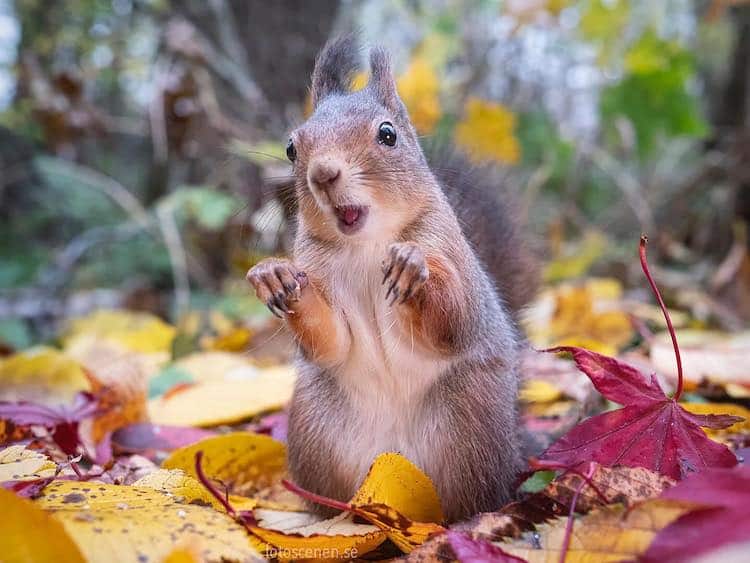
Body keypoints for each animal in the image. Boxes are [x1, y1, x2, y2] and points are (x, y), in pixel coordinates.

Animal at [250, 36, 536, 524]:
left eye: (388, 134)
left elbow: (453, 321)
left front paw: (411, 266)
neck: (368, 245)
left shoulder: (453, 258)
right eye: (291, 147)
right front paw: (274, 275)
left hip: (470, 428)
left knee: (471, 500)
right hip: (315, 432)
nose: (323, 173)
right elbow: (331, 341)